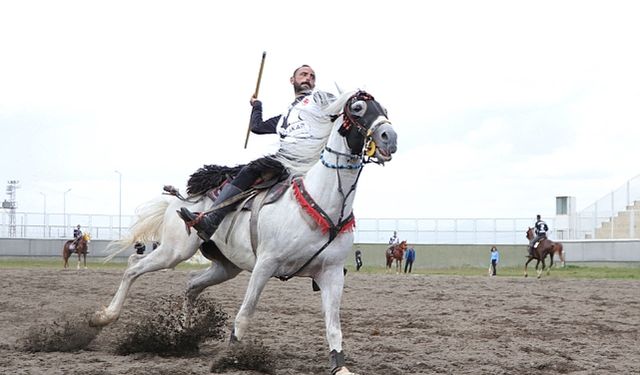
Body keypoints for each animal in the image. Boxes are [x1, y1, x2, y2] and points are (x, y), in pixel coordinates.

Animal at [92, 92, 398, 375]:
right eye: (357, 108)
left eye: (384, 109)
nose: (390, 137)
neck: (319, 203)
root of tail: (183, 199)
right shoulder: (265, 265)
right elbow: (246, 313)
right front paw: (233, 357)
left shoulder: (331, 273)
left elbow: (333, 324)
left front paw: (339, 365)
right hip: (174, 251)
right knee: (134, 266)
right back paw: (104, 317)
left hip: (226, 267)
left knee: (191, 285)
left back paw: (183, 335)